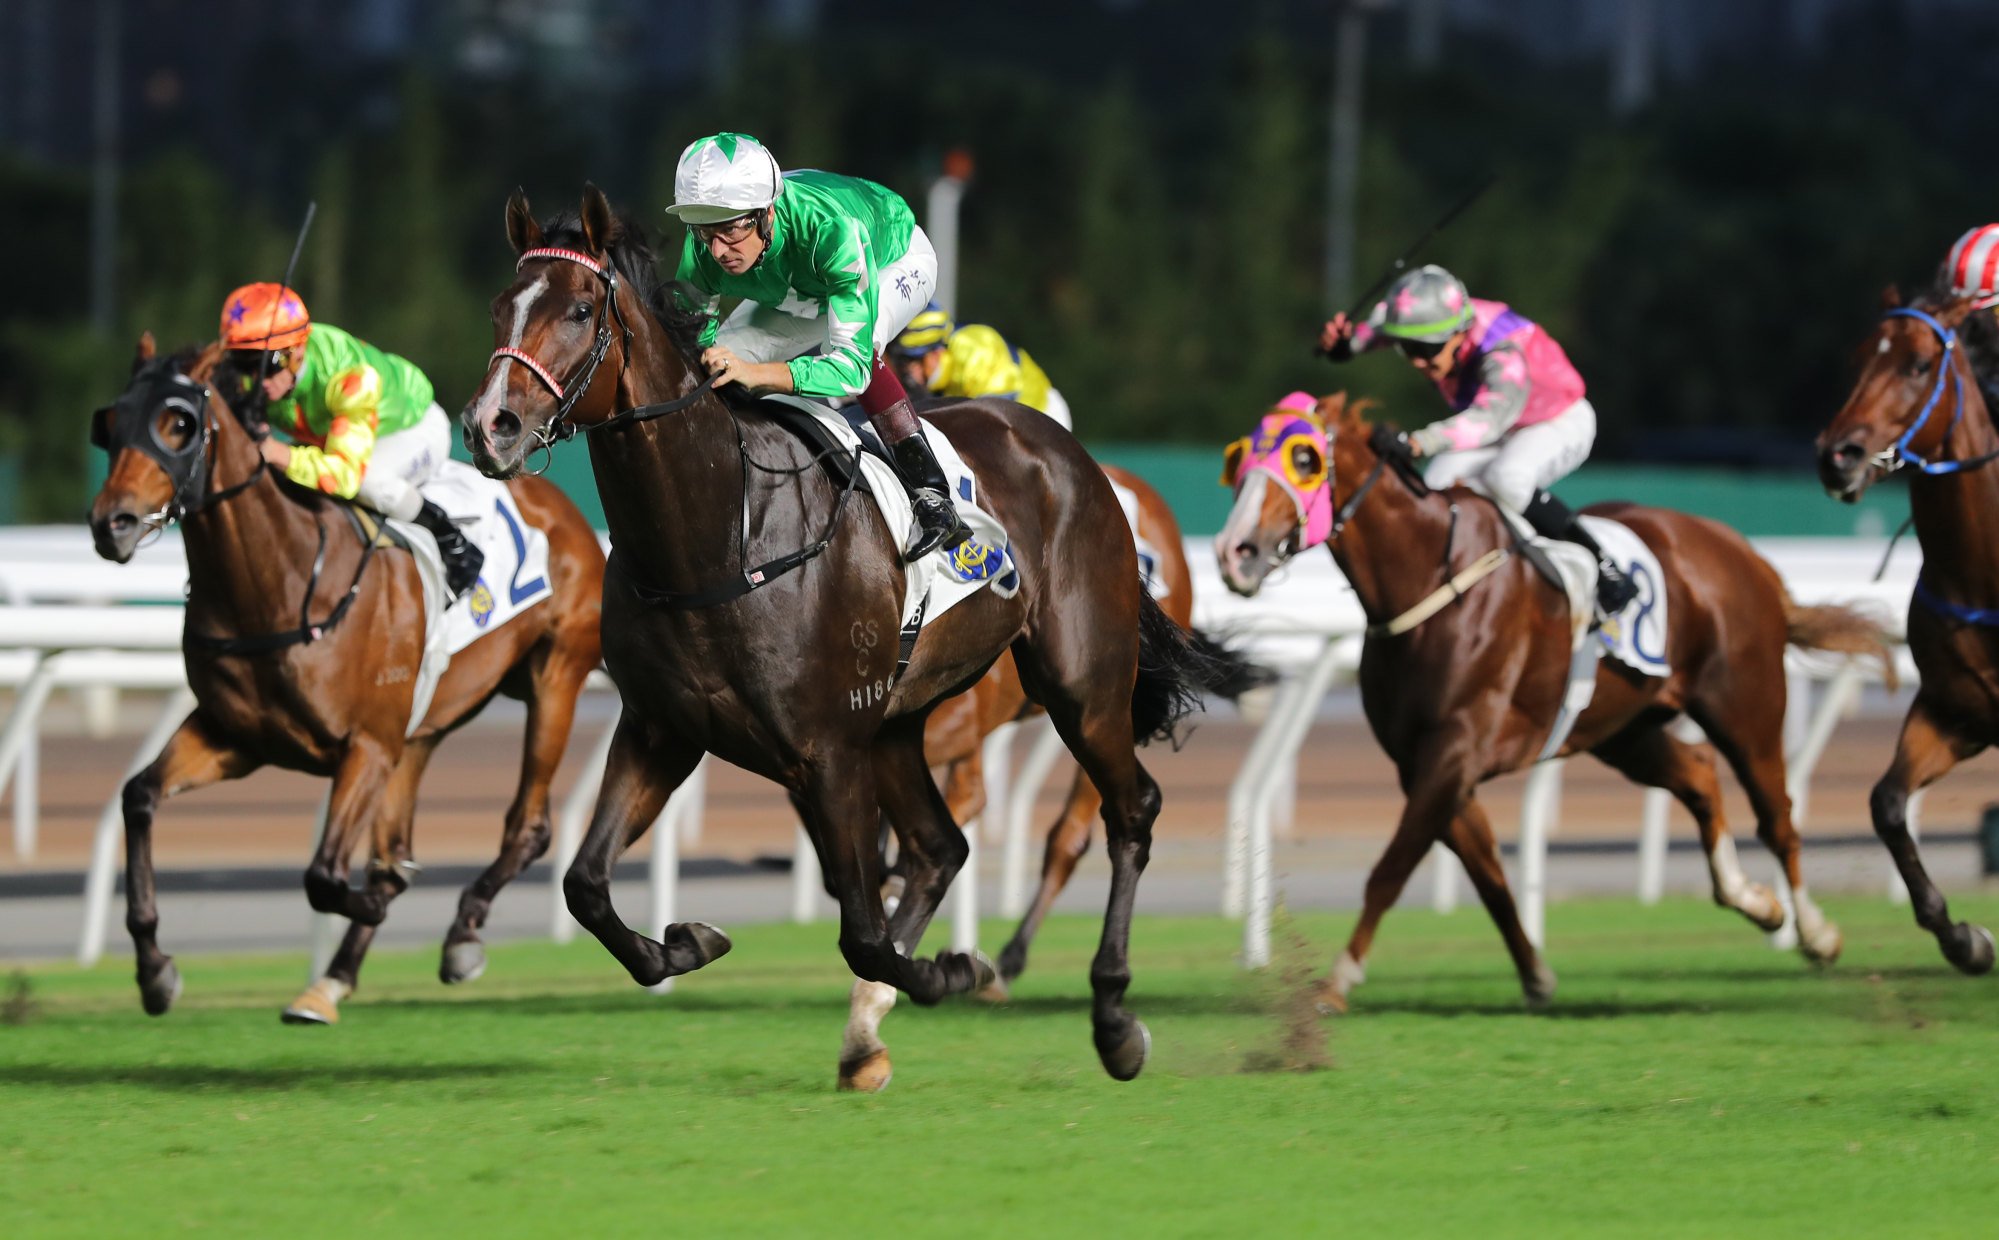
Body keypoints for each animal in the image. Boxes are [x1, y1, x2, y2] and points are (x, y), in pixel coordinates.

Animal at [87, 334, 599, 1024]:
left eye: (178, 423)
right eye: (111, 423)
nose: (110, 524)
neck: (282, 581)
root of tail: (561, 506)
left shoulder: (366, 746)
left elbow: (326, 876)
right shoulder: (236, 737)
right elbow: (138, 796)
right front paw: (154, 969)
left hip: (555, 676)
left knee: (528, 825)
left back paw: (461, 936)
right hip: (422, 729)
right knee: (397, 842)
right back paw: (331, 979)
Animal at [461, 189, 1223, 1088]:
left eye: (580, 311)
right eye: (500, 306)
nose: (490, 425)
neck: (715, 536)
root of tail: (1072, 453)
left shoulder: (825, 750)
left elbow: (861, 930)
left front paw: (952, 968)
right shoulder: (662, 729)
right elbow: (585, 885)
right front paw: (686, 943)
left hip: (1080, 682)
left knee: (1127, 809)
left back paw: (1110, 1017)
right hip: (897, 720)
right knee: (939, 848)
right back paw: (869, 1034)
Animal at [1199, 392, 1887, 1012]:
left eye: (1305, 459)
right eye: (1238, 462)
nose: (1234, 552)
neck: (1428, 582)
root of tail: (1746, 554)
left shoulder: (1454, 750)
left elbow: (1392, 868)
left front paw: (1337, 980)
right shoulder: (1427, 764)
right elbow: (1490, 876)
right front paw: (1535, 975)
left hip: (1745, 706)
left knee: (1778, 818)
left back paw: (1815, 933)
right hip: (1624, 729)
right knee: (1698, 777)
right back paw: (1755, 903)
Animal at [1815, 286, 1999, 972]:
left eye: (1920, 365)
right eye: (1860, 356)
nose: (1837, 455)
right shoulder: (1955, 712)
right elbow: (1888, 805)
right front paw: (1963, 938)